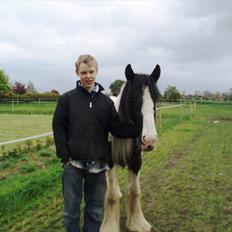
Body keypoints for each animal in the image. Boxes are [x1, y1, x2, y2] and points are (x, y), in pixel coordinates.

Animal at [100, 64, 160, 232]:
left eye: (156, 98)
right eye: (133, 98)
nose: (149, 140)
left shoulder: (136, 162)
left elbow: (134, 191)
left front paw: (137, 223)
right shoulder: (109, 162)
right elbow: (111, 196)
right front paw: (110, 226)